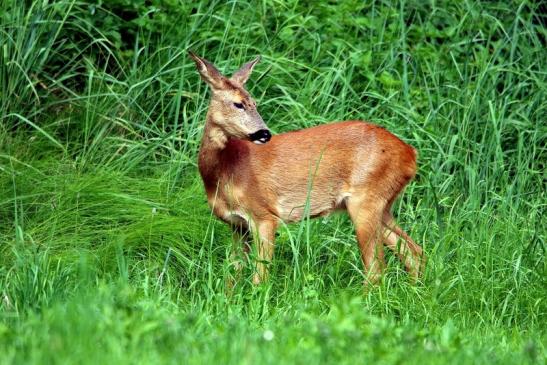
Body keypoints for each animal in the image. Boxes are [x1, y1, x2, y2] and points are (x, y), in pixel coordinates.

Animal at [191, 51, 426, 284]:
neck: (225, 173)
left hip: (366, 199)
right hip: (382, 204)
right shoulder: (237, 225)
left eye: (255, 103)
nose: (264, 133)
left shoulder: (265, 215)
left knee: (377, 268)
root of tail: (410, 154)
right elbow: (232, 275)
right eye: (238, 104)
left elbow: (260, 276)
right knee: (413, 252)